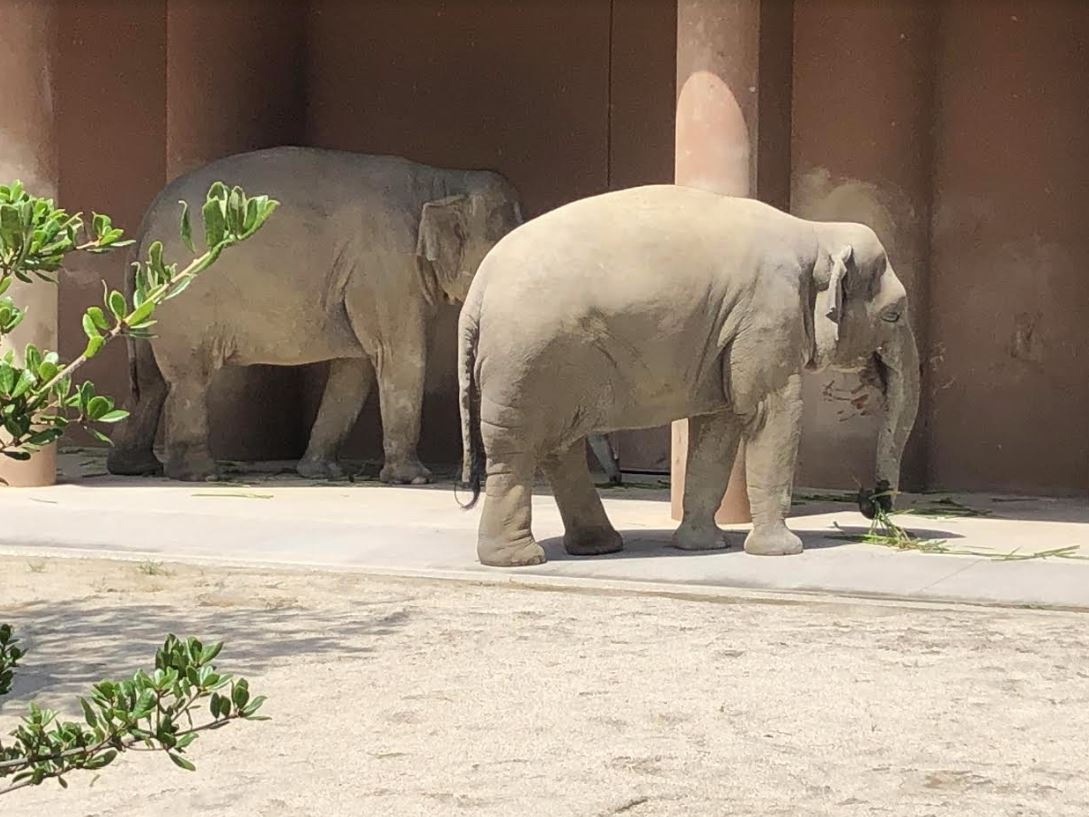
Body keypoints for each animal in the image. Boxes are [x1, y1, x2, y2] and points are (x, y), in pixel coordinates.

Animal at [105, 145, 522, 485]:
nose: (472, 478)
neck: (441, 179)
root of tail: (144, 225)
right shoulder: (387, 267)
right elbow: (401, 356)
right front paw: (414, 479)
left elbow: (356, 367)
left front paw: (321, 471)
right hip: (184, 300)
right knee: (188, 378)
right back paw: (200, 475)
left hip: (152, 303)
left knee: (150, 381)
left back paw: (135, 468)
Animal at [457, 185, 919, 570]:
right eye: (894, 314)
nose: (870, 501)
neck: (815, 232)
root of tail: (476, 294)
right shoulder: (767, 315)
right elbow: (772, 413)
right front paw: (783, 551)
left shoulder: (732, 332)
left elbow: (720, 426)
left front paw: (703, 546)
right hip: (526, 362)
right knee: (517, 452)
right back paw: (519, 559)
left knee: (558, 448)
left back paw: (598, 546)